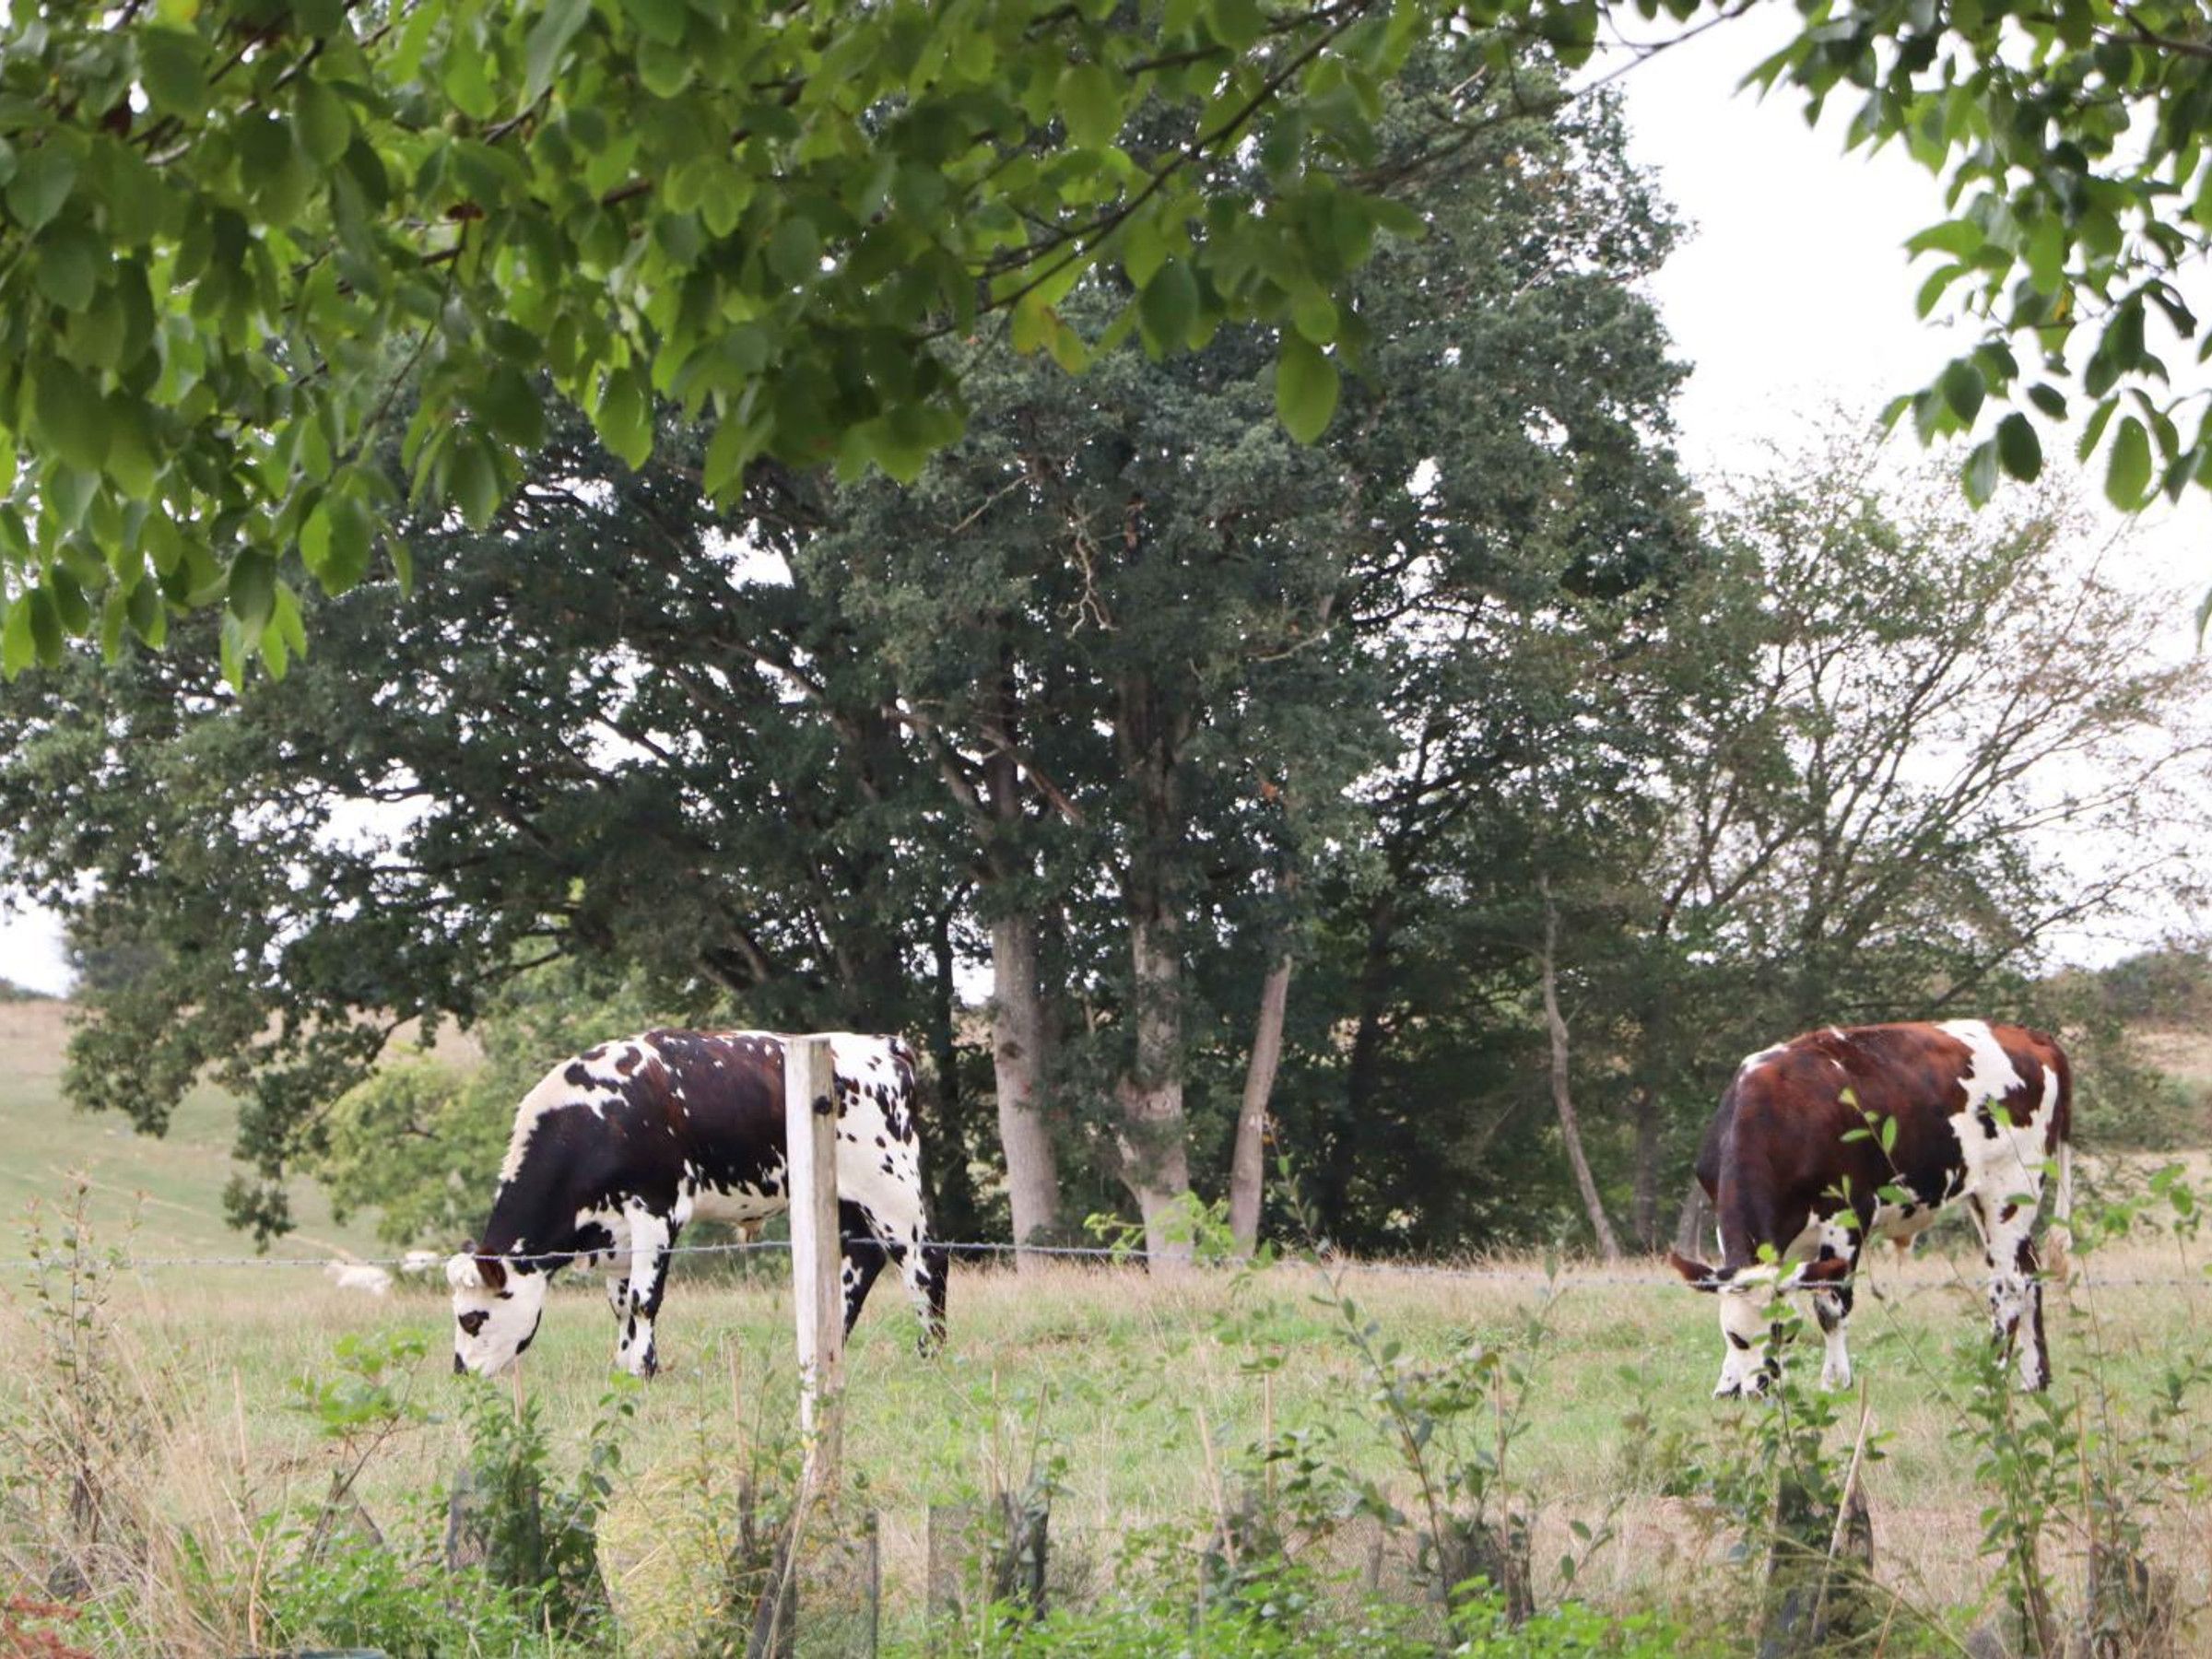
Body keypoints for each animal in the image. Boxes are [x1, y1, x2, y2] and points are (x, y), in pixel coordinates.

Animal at [447, 1030, 948, 1379]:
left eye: (470, 1318)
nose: (460, 1371)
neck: (596, 1120)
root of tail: (883, 1045)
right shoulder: (615, 1234)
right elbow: (622, 1303)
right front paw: (623, 1364)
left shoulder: (656, 1209)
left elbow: (644, 1300)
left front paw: (643, 1369)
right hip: (845, 1197)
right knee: (859, 1264)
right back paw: (826, 1351)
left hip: (890, 1185)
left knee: (925, 1262)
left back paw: (932, 1353)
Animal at [1669, 1020, 2072, 1399]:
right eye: (1735, 1336)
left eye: (1783, 1334)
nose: (1755, 1391)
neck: (1777, 1116)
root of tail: (2031, 1036)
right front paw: (1726, 1384)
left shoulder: (1847, 1217)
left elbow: (1829, 1306)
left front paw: (1835, 1382)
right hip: (1989, 1199)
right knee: (2030, 1271)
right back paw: (2034, 1379)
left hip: (2010, 1188)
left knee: (2010, 1284)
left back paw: (1993, 1380)